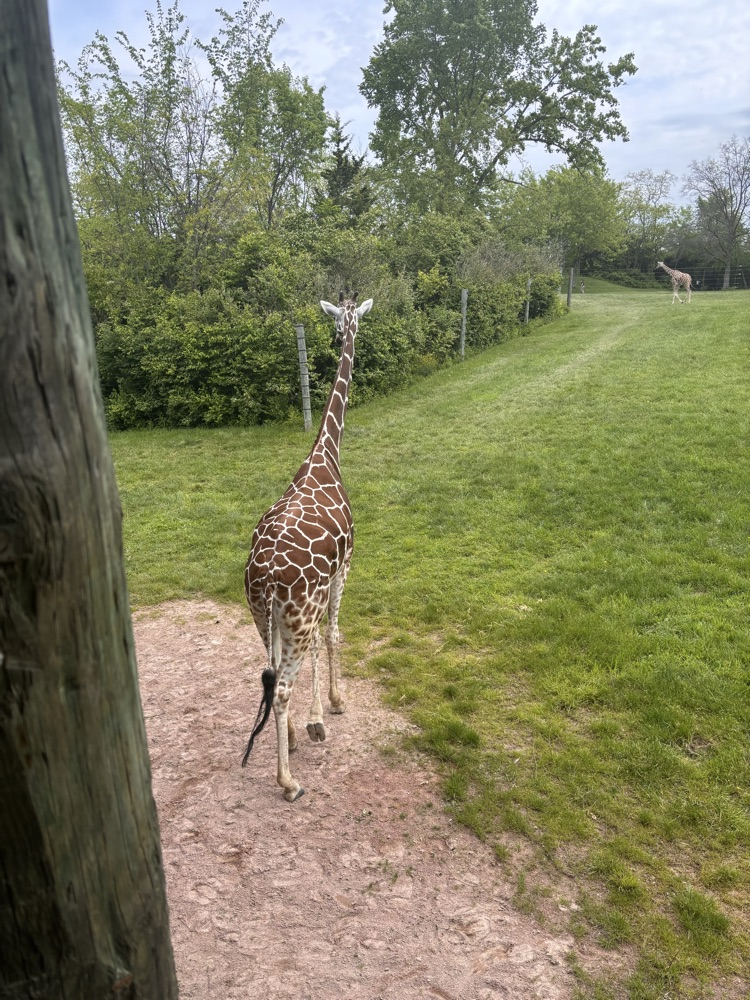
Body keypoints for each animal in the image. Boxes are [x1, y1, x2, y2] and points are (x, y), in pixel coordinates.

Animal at [242, 292, 373, 801]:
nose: (343, 334)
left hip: (264, 615)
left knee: (271, 676)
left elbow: (321, 642)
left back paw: (293, 739)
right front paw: (332, 706)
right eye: (343, 320)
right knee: (280, 688)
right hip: (294, 614)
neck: (325, 456)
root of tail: (265, 577)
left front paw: (313, 723)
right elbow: (333, 635)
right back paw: (288, 781)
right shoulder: (343, 568)